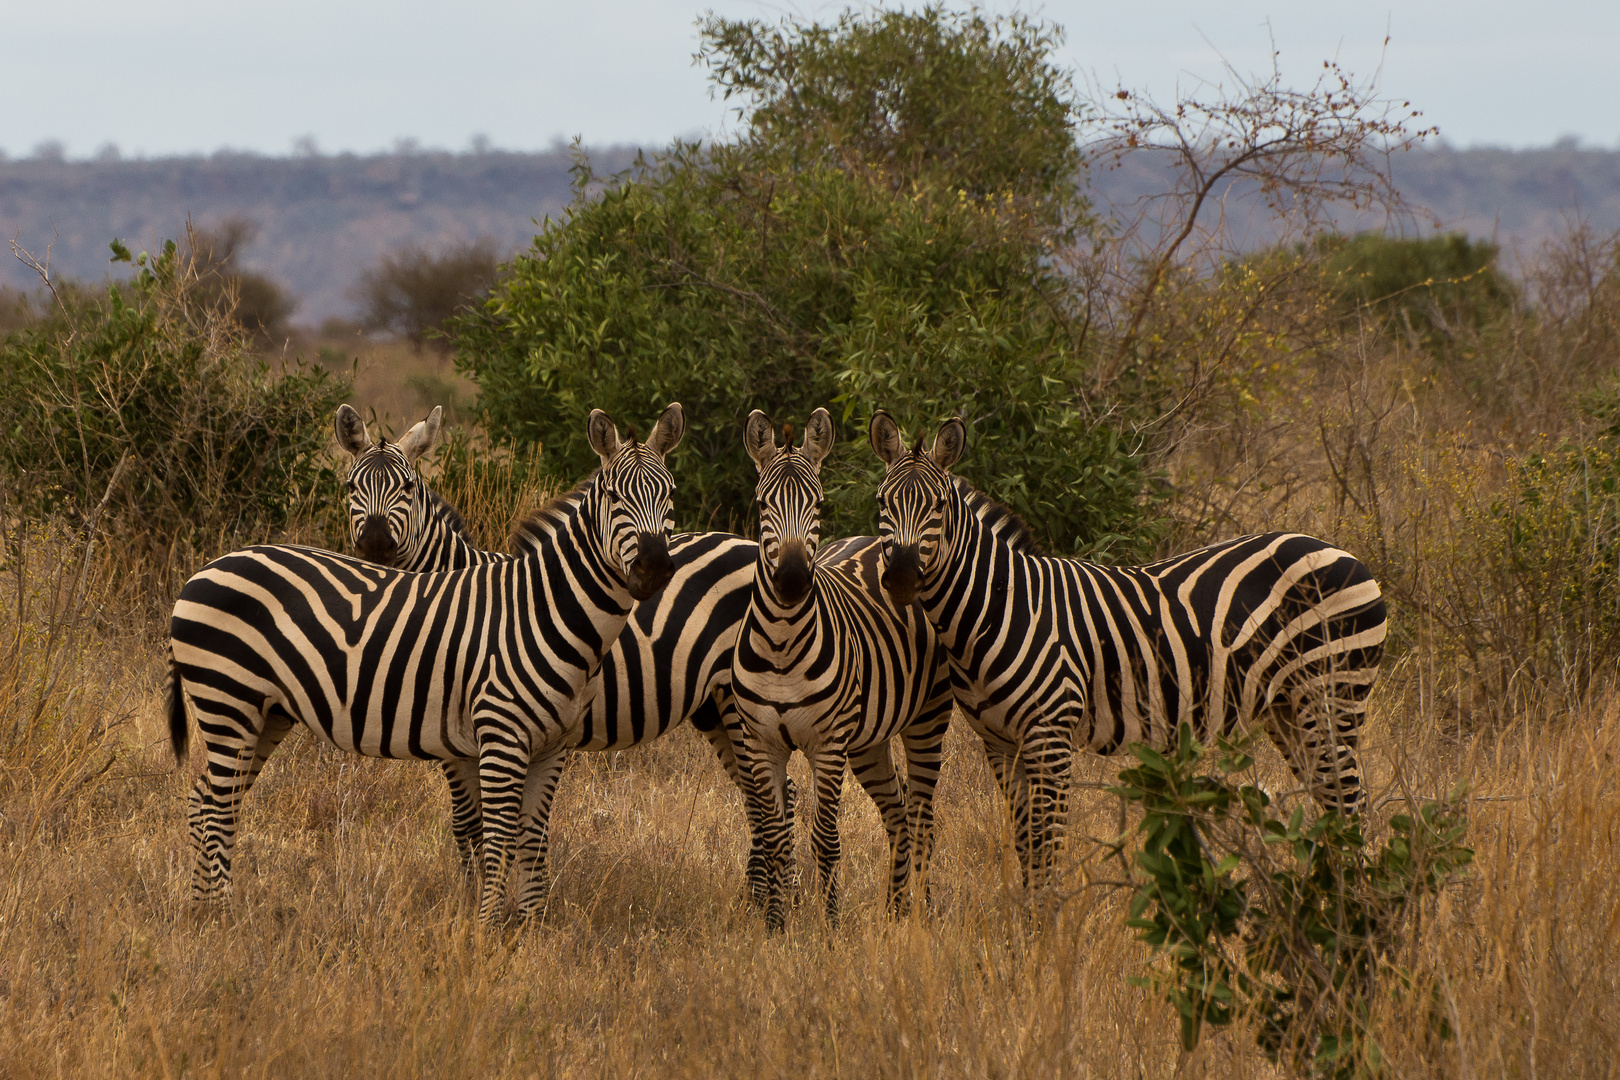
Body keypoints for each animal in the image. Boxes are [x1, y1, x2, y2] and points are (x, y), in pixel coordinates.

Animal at [169, 404, 683, 919]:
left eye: (671, 493)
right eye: (614, 496)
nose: (655, 567)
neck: (543, 608)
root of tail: (204, 570)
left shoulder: (552, 746)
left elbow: (533, 841)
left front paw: (531, 926)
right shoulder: (495, 737)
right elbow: (493, 836)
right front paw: (486, 924)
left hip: (265, 712)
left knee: (206, 800)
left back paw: (201, 909)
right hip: (228, 700)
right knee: (215, 806)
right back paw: (221, 914)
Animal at [333, 403, 797, 893]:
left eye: (406, 487)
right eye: (351, 487)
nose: (376, 546)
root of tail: (747, 544)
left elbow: (486, 825)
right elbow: (467, 824)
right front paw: (474, 896)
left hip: (739, 702)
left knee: (775, 799)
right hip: (712, 706)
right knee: (764, 798)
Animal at [732, 408, 952, 932]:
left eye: (817, 504)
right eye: (762, 503)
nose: (792, 581)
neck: (781, 645)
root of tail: (877, 541)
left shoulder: (828, 745)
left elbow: (825, 840)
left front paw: (830, 929)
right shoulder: (761, 743)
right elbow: (776, 839)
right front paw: (776, 928)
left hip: (926, 719)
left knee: (922, 817)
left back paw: (921, 916)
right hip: (869, 740)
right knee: (897, 814)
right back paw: (894, 912)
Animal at [868, 414, 1386, 887]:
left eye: (938, 506)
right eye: (881, 502)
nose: (901, 578)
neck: (999, 608)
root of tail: (1344, 554)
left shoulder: (1051, 733)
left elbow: (1048, 843)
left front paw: (1047, 926)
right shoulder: (998, 743)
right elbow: (1026, 843)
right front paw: (1027, 923)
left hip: (1333, 696)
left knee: (1351, 807)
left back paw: (1356, 911)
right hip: (1288, 710)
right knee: (1331, 803)